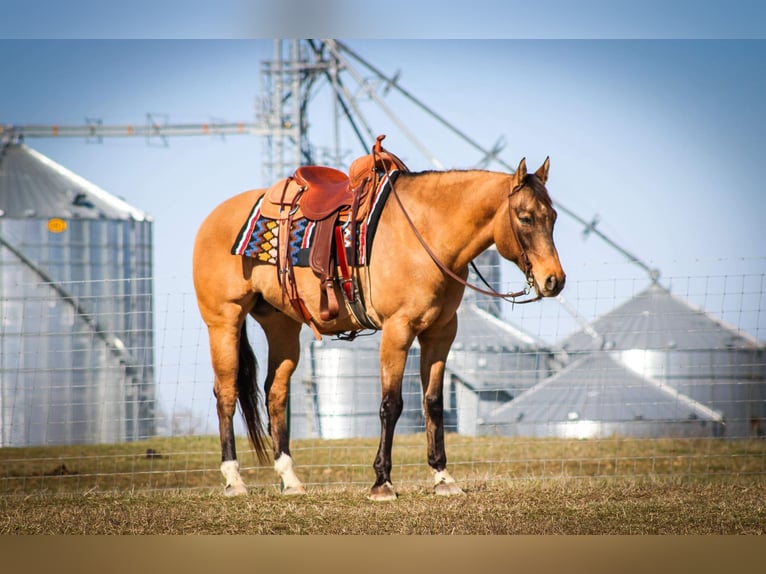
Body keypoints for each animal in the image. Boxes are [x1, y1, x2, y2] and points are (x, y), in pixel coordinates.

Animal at [194, 140, 564, 500]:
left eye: (553, 217)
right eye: (525, 218)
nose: (554, 280)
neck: (425, 233)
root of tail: (213, 218)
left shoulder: (440, 333)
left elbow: (433, 403)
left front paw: (443, 477)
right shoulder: (397, 329)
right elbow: (391, 404)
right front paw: (382, 481)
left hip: (281, 326)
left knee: (275, 393)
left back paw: (291, 480)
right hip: (224, 321)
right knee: (226, 392)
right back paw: (234, 480)